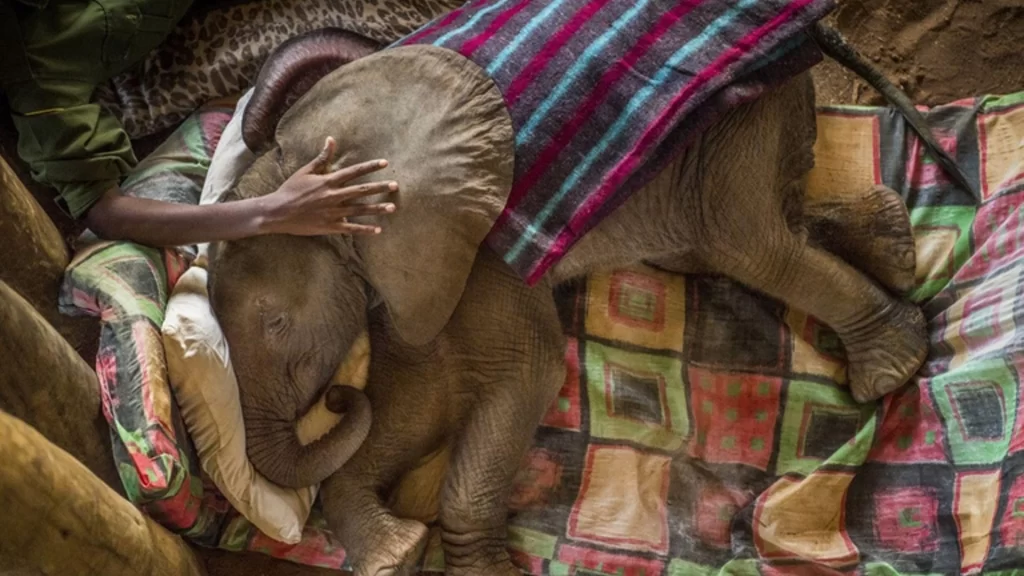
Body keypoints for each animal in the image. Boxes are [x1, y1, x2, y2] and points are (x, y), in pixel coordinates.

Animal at [206, 3, 970, 574]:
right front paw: (393, 555)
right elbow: (420, 393)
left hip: (734, 119)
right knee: (731, 233)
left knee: (747, 242)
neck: (308, 159)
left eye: (276, 325)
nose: (337, 395)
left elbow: (526, 371)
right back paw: (895, 245)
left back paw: (888, 369)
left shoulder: (475, 245)